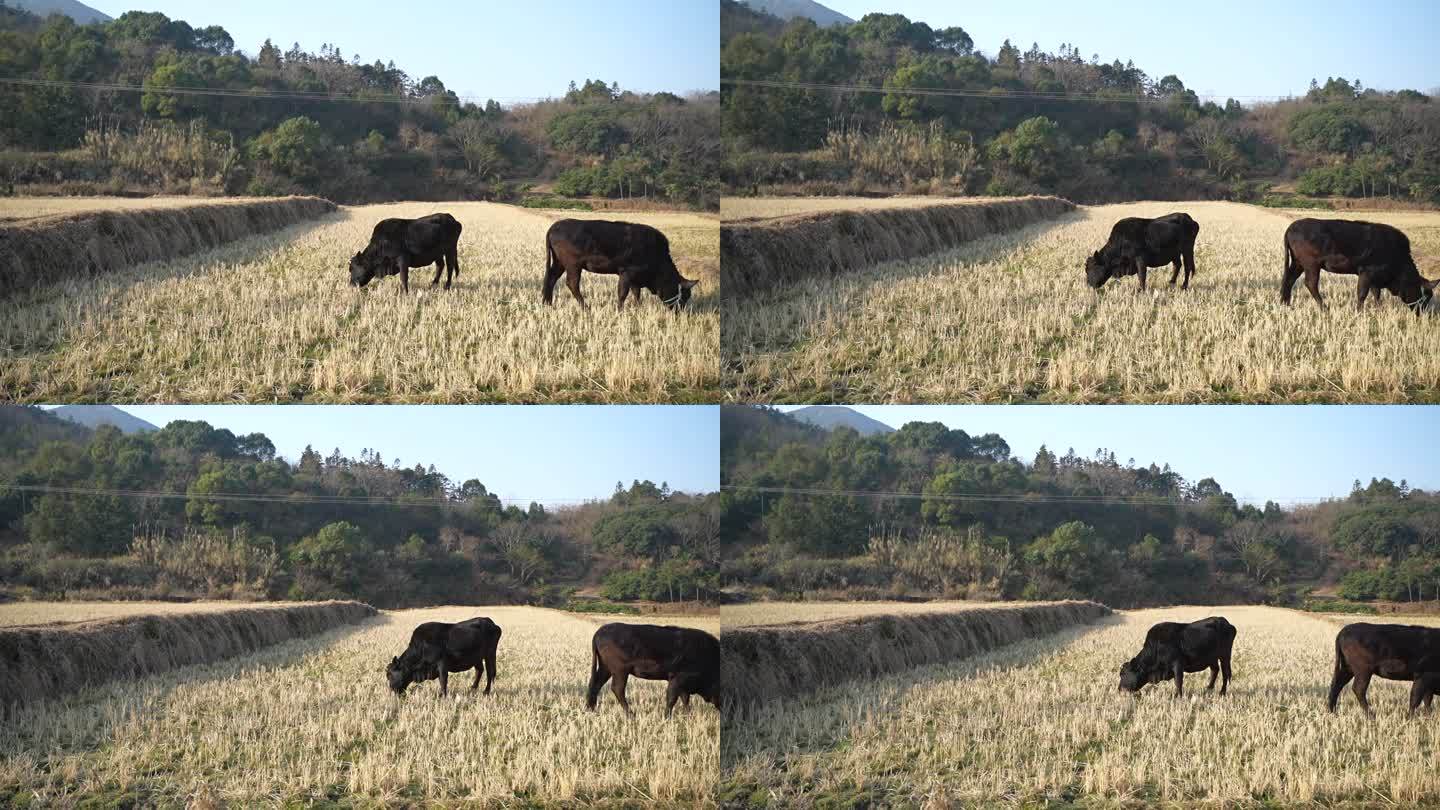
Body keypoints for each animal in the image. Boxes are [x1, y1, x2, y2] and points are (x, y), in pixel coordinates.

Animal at [541, 217, 696, 308]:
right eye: (684, 296)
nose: (678, 312)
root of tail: (554, 227)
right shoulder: (627, 272)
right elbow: (623, 293)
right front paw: (620, 310)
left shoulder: (635, 278)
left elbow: (636, 293)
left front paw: (637, 307)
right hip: (573, 265)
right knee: (572, 284)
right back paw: (585, 307)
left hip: (559, 263)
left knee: (551, 278)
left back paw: (547, 303)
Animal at [584, 619, 720, 714]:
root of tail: (599, 632)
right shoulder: (678, 678)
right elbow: (672, 699)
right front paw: (667, 717)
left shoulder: (683, 683)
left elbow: (685, 699)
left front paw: (688, 715)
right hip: (620, 670)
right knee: (617, 689)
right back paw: (630, 714)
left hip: (606, 668)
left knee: (595, 684)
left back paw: (590, 709)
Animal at [1284, 216, 1428, 309]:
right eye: (1425, 295)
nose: (1421, 311)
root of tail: (1291, 227)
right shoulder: (1367, 272)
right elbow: (1362, 294)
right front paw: (1359, 311)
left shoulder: (1374, 277)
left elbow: (1376, 293)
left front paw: (1378, 308)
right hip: (1311, 265)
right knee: (1310, 284)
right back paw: (1324, 307)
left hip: (1298, 263)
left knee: (1289, 279)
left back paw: (1285, 303)